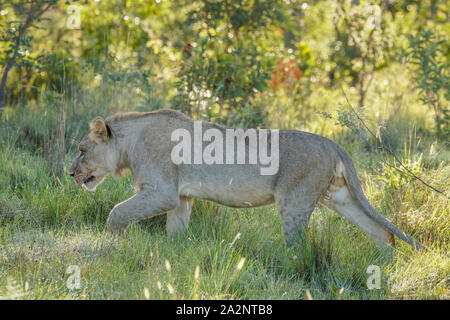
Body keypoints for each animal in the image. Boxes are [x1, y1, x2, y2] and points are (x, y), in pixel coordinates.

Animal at [69, 110, 422, 250]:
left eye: (82, 151)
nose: (70, 174)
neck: (128, 144)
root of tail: (334, 143)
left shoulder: (162, 191)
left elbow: (117, 212)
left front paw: (114, 241)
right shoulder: (181, 198)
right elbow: (175, 231)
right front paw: (175, 254)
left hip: (294, 201)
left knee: (298, 245)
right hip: (339, 196)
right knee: (381, 231)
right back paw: (385, 262)